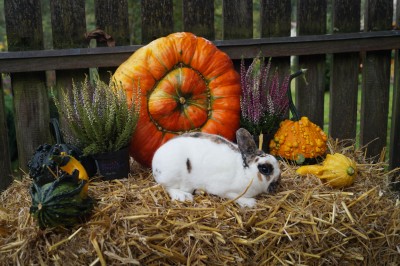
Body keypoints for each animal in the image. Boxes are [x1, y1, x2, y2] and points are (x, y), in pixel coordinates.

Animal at [152, 127, 282, 208]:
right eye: (264, 169)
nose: (278, 179)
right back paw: (183, 196)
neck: (246, 172)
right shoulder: (224, 190)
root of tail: (154, 163)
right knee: (168, 187)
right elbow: (235, 197)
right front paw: (250, 203)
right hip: (173, 177)